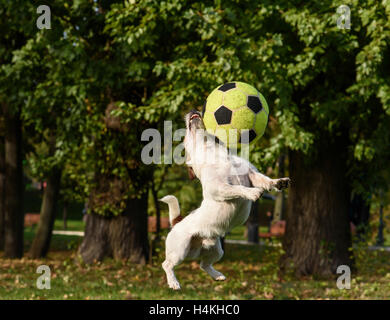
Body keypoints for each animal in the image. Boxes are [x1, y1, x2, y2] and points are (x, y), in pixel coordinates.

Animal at [159, 110, 290, 290]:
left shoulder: (252, 174)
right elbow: (238, 189)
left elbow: (266, 180)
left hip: (216, 250)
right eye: (184, 137)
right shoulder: (218, 187)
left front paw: (278, 182)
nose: (194, 110)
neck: (213, 153)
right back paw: (173, 282)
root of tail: (177, 222)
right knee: (167, 264)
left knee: (204, 265)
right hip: (180, 249)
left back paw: (218, 276)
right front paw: (253, 193)